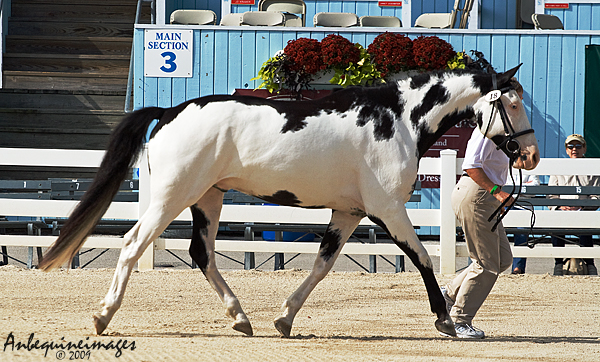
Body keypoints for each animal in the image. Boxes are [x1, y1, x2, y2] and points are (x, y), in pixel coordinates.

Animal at [39, 64, 540, 336]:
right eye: (512, 104)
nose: (531, 155)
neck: (397, 119)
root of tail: (169, 112)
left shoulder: (349, 212)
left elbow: (321, 265)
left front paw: (284, 318)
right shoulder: (388, 210)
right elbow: (420, 258)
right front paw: (444, 320)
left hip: (208, 198)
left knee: (202, 253)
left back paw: (241, 318)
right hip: (171, 196)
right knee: (132, 245)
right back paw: (103, 315)